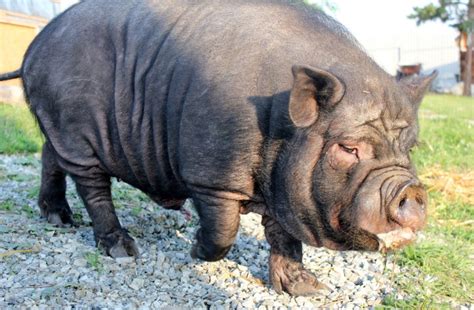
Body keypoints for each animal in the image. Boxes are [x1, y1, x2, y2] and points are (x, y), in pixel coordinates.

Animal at [0, 0, 436, 296]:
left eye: (411, 146)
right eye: (348, 148)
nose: (411, 190)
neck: (278, 122)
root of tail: (34, 47)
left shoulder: (280, 188)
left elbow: (284, 238)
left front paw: (308, 289)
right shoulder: (210, 174)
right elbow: (224, 230)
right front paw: (195, 250)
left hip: (57, 128)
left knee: (48, 157)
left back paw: (59, 219)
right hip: (76, 130)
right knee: (92, 187)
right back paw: (123, 249)